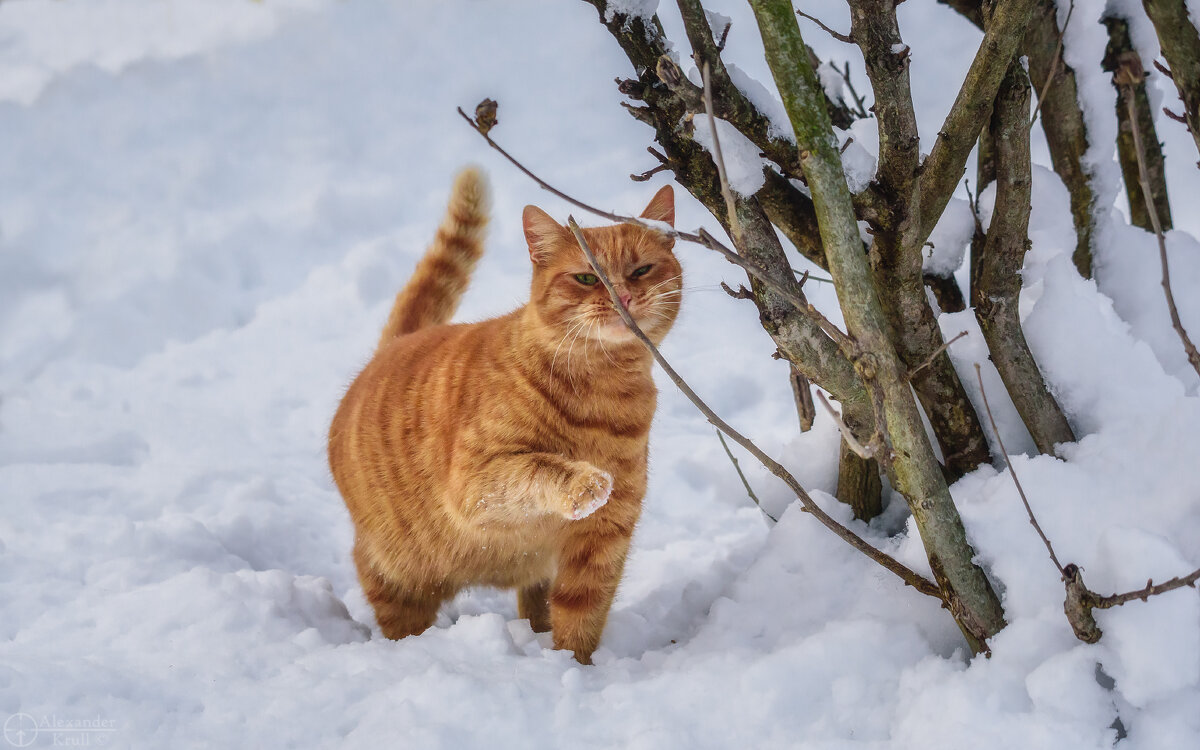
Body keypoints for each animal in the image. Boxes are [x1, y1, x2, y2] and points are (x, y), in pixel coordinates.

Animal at [326, 168, 686, 662]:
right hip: (397, 573)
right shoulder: (477, 481)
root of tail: (390, 348)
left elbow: (581, 614)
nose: (625, 297)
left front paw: (575, 668)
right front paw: (584, 481)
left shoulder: (604, 537)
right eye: (586, 278)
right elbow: (538, 469)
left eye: (641, 270)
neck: (603, 390)